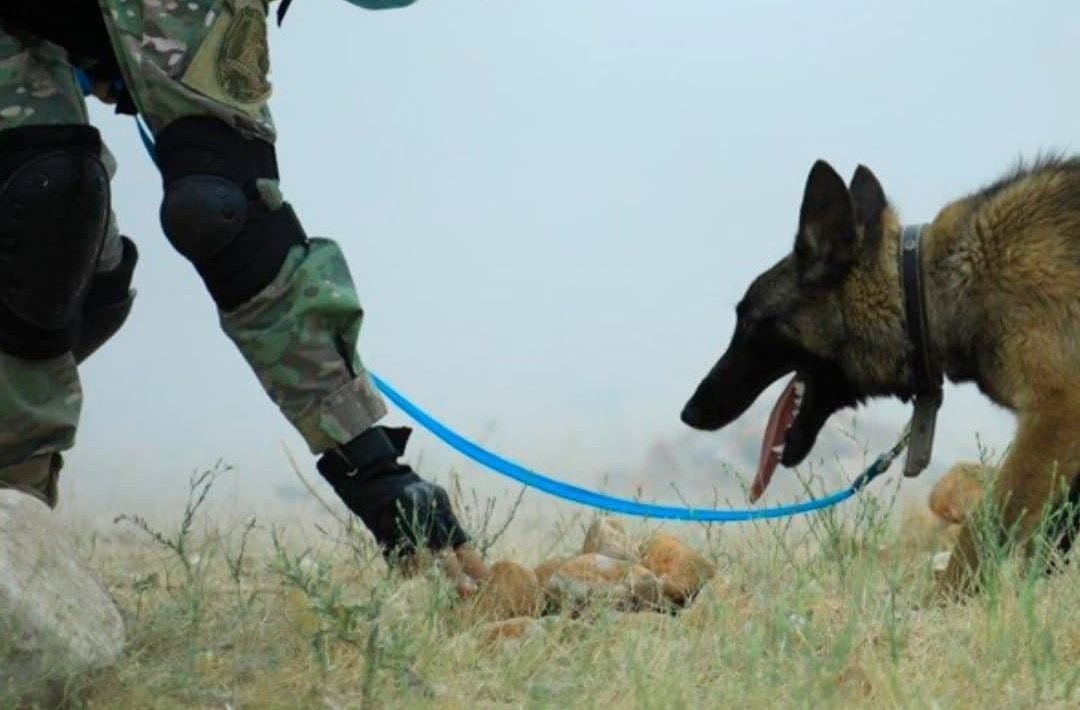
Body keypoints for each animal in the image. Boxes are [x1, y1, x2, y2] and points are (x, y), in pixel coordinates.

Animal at [678, 157, 1080, 596]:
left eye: (748, 322)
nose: (689, 412)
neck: (930, 289)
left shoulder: (1054, 416)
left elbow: (986, 525)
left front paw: (943, 601)